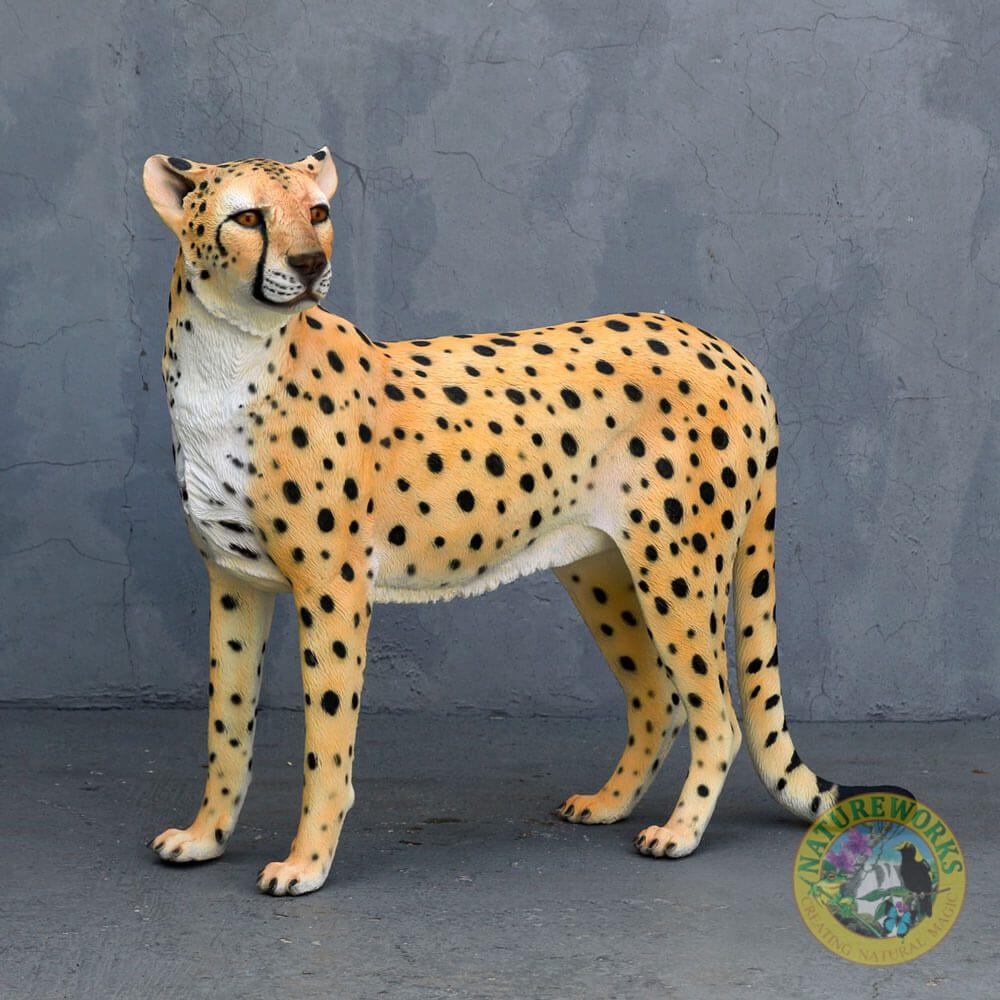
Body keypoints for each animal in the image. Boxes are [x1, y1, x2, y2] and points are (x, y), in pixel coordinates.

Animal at [141, 148, 911, 896]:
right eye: (248, 217)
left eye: (319, 211)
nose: (308, 264)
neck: (227, 357)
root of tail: (727, 349)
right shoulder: (235, 583)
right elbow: (226, 724)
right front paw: (206, 837)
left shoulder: (333, 590)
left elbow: (325, 742)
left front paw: (306, 864)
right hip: (599, 566)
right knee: (659, 697)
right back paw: (608, 803)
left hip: (679, 566)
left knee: (716, 714)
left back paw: (680, 833)